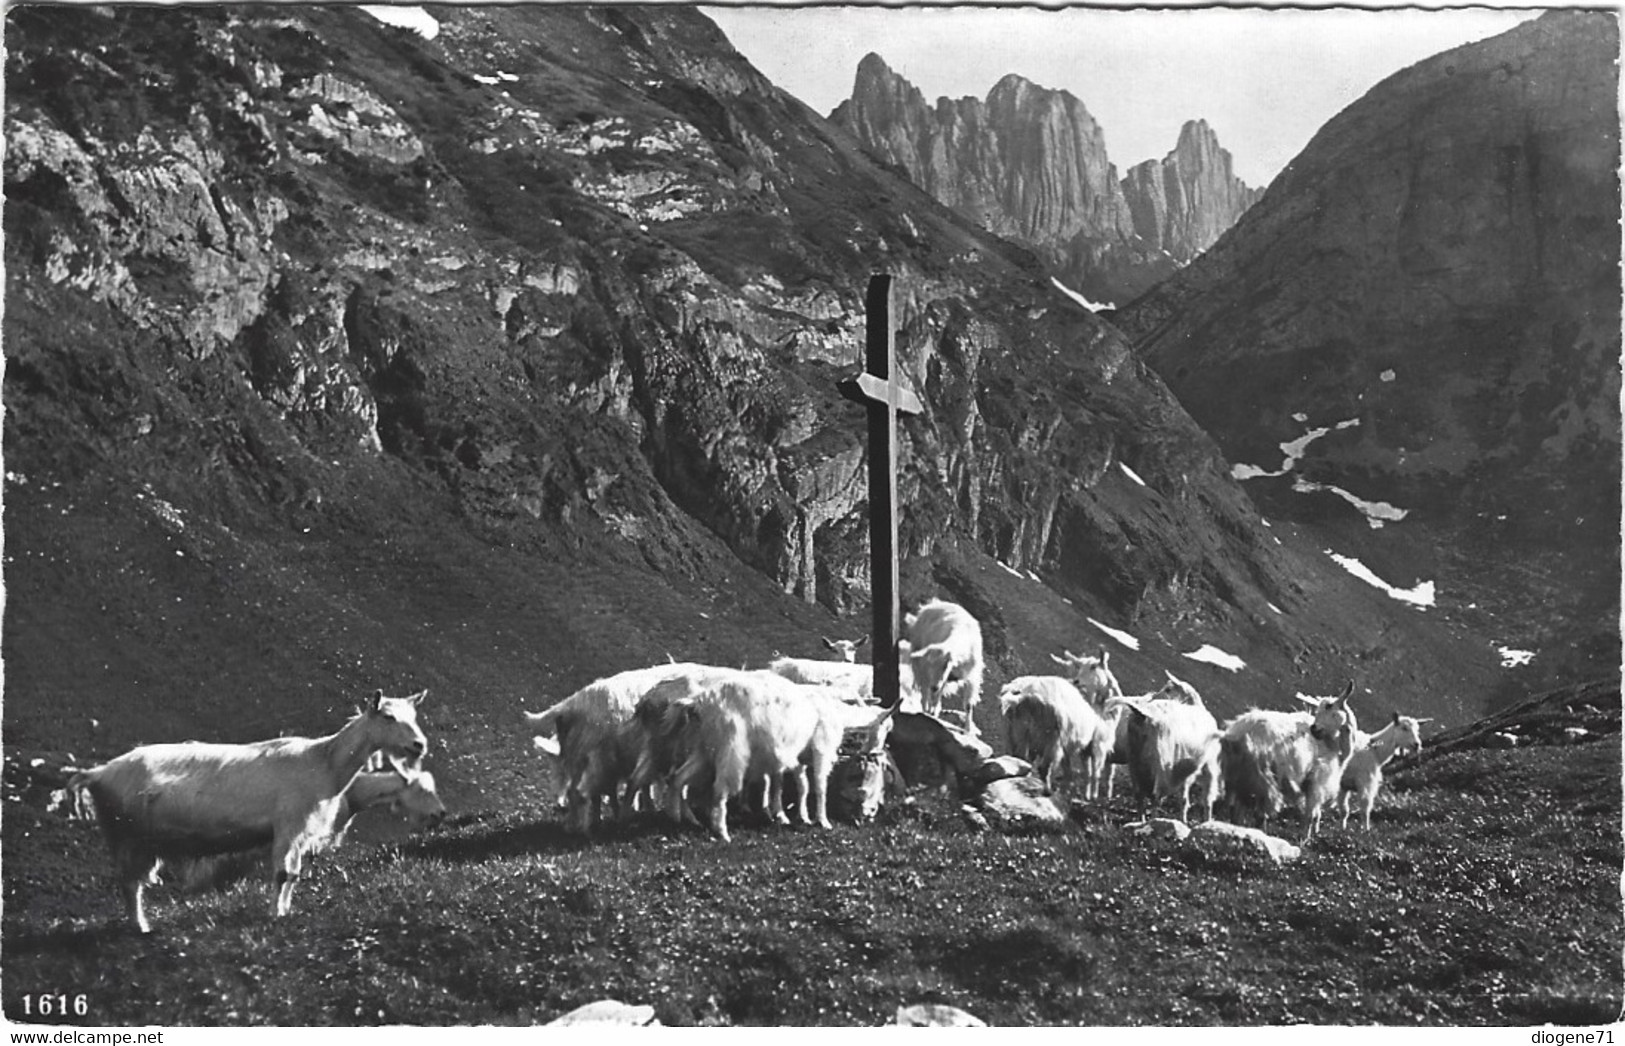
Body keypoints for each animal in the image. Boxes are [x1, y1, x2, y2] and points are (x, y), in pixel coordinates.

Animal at [69, 691, 429, 929]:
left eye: (413, 717)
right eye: (388, 717)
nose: (419, 745)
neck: (323, 763)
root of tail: (99, 772)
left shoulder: (298, 832)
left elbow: (294, 874)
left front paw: (284, 912)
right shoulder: (287, 825)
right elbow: (282, 874)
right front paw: (274, 915)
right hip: (128, 835)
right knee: (130, 884)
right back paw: (140, 927)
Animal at [903, 597, 988, 734]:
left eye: (945, 665)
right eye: (930, 665)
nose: (934, 686)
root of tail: (932, 604)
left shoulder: (972, 676)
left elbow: (968, 705)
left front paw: (968, 730)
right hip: (919, 666)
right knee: (925, 692)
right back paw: (926, 711)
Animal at [1222, 685, 1358, 844]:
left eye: (1329, 706)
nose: (1314, 729)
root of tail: (1240, 732)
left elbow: (1315, 814)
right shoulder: (1317, 781)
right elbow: (1311, 815)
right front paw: (1304, 841)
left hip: (1242, 779)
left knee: (1237, 811)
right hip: (1264, 778)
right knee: (1259, 814)